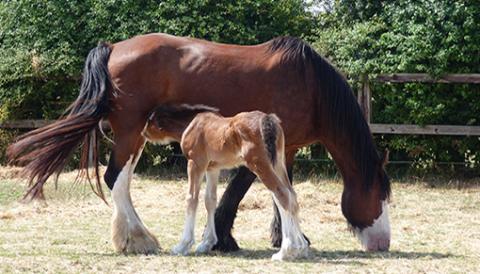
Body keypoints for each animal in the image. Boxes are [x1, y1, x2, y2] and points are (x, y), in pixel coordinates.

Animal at [7, 33, 390, 255]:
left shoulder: (287, 149)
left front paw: (285, 239)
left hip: (136, 137)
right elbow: (240, 193)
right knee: (115, 179)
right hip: (130, 132)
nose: (383, 244)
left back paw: (132, 238)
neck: (309, 84)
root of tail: (113, 48)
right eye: (381, 196)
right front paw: (224, 240)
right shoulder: (259, 153)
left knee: (123, 182)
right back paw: (140, 239)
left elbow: (281, 194)